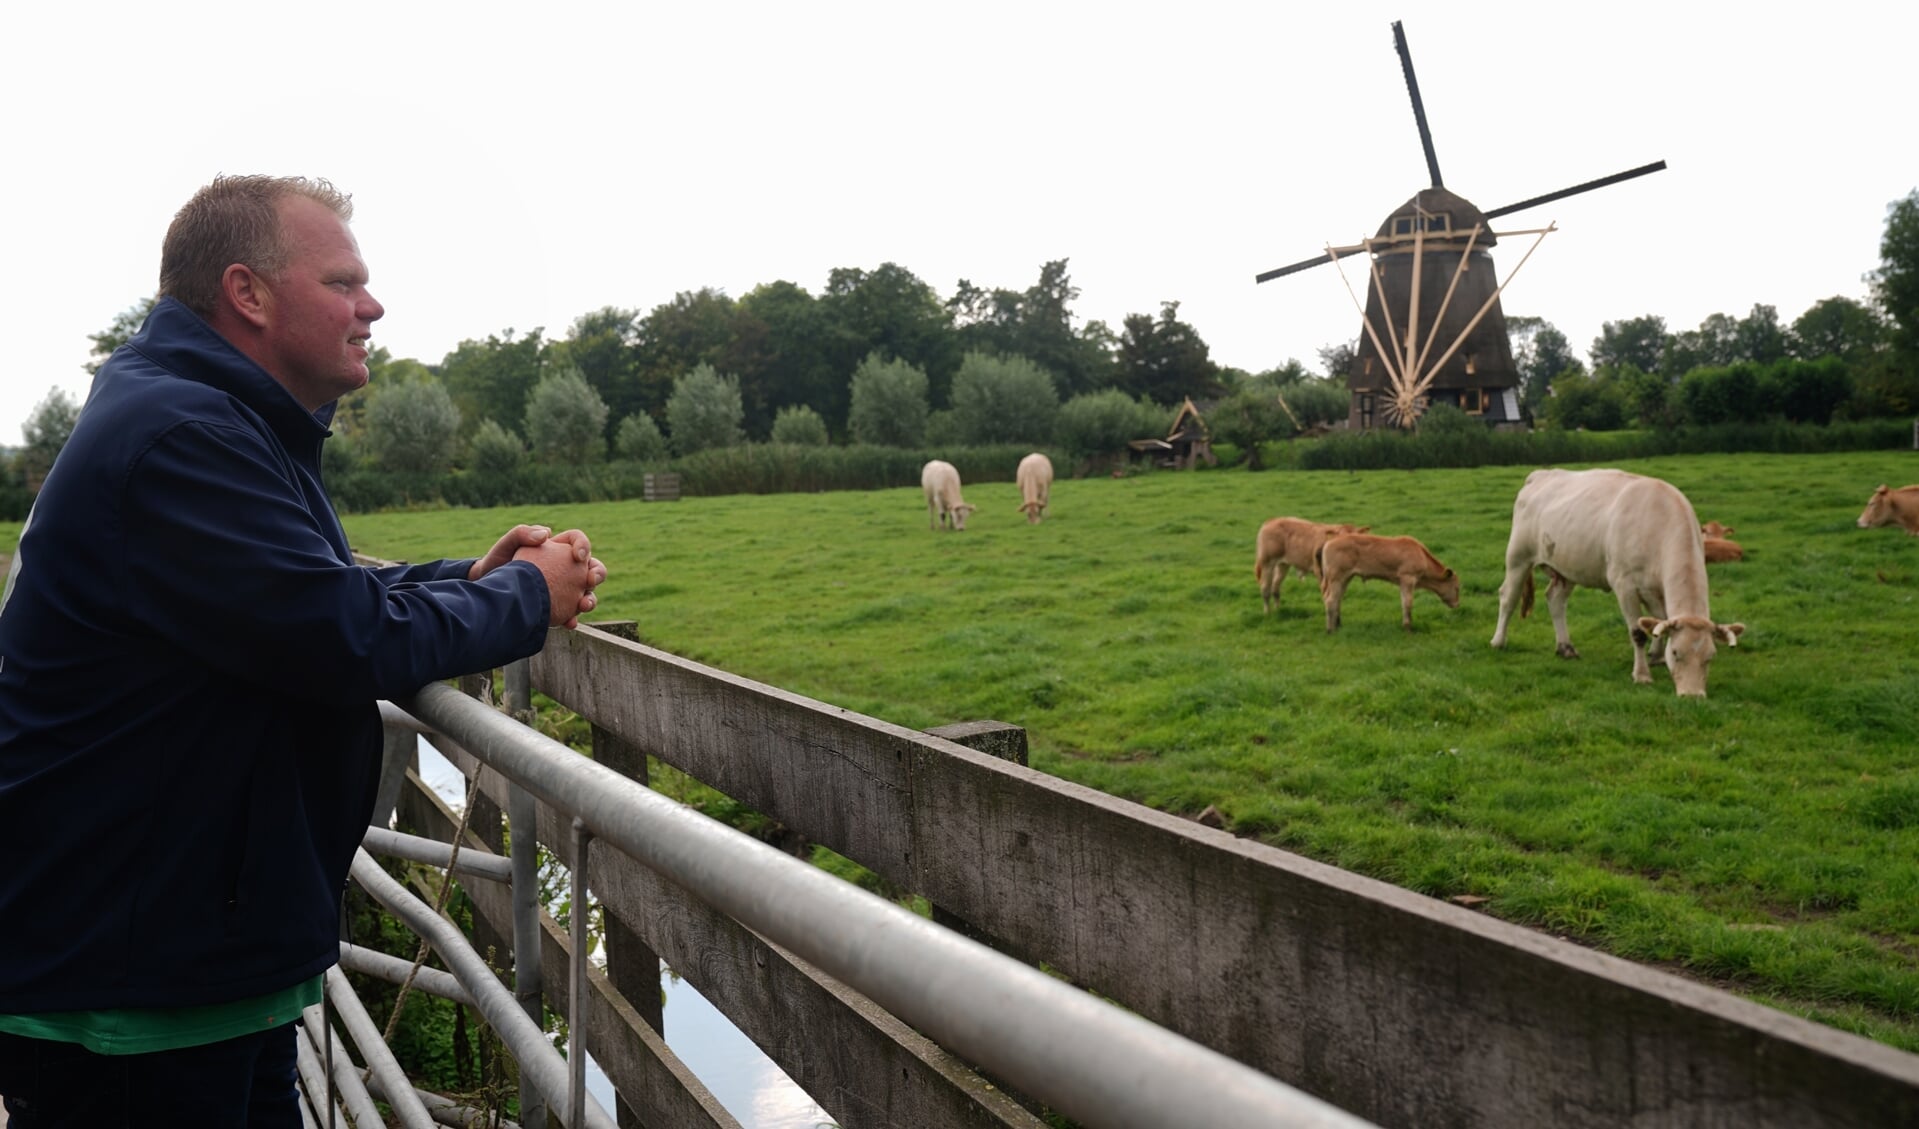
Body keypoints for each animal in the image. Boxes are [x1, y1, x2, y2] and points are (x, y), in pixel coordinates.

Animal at [1320, 529, 1450, 629]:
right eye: (1455, 588)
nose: (1455, 604)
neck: (1421, 554)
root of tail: (1329, 542)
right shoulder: (1408, 579)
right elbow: (1407, 603)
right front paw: (1408, 628)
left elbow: (1404, 602)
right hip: (1336, 578)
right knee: (1331, 600)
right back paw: (1330, 630)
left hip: (1345, 579)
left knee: (1337, 599)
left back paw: (1337, 624)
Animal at [1489, 466, 1750, 695]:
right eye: (1676, 653)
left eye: (1710, 656)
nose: (1693, 695)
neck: (1659, 523)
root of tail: (1541, 474)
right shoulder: (1625, 585)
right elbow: (1638, 632)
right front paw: (1642, 674)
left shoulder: (1656, 589)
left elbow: (1658, 622)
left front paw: (1656, 657)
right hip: (1518, 557)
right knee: (1508, 597)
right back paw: (1498, 641)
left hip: (1567, 567)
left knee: (1555, 600)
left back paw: (1565, 647)